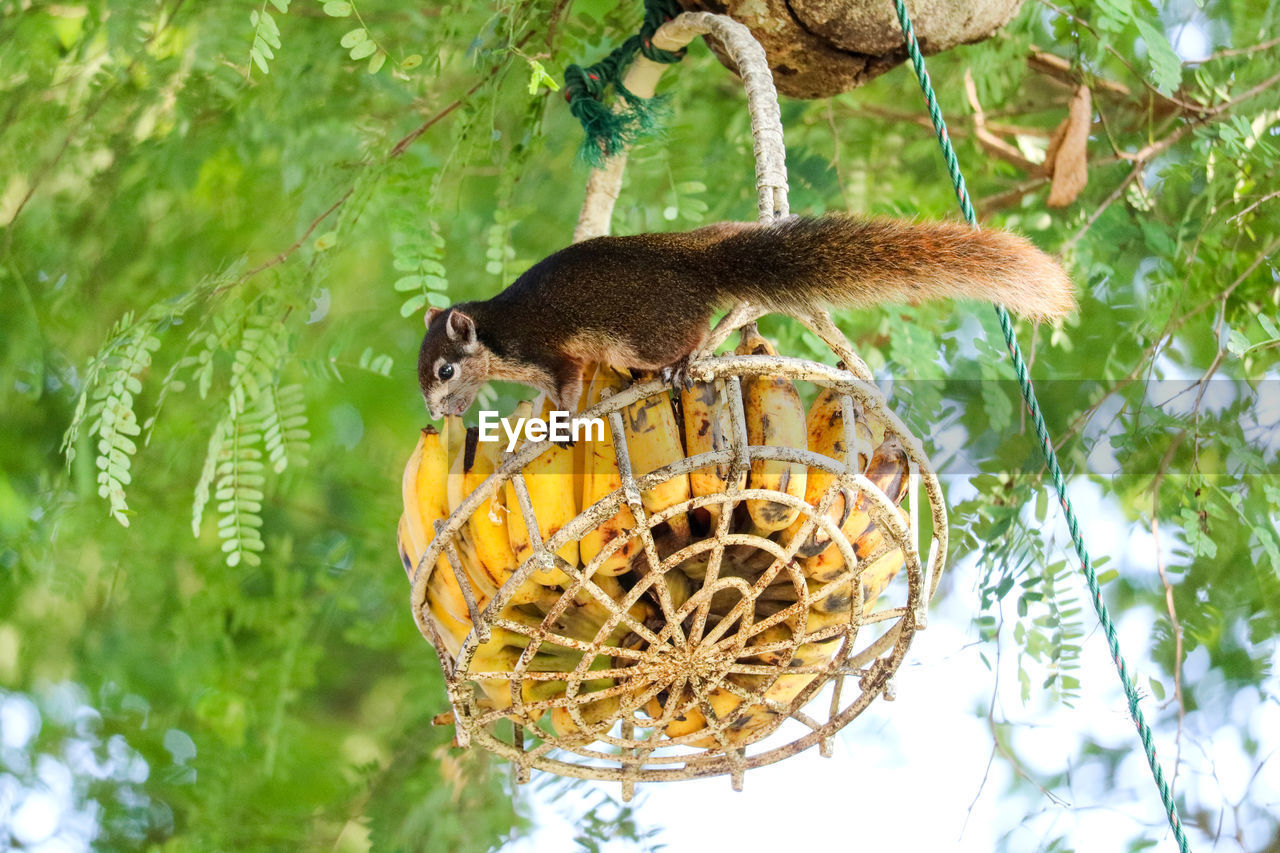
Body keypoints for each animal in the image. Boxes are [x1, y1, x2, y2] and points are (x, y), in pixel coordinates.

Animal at [417, 212, 1070, 417]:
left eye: (445, 370)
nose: (437, 416)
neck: (496, 336)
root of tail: (699, 265)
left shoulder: (548, 353)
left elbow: (568, 387)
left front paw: (555, 419)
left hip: (642, 334)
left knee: (693, 335)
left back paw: (685, 363)